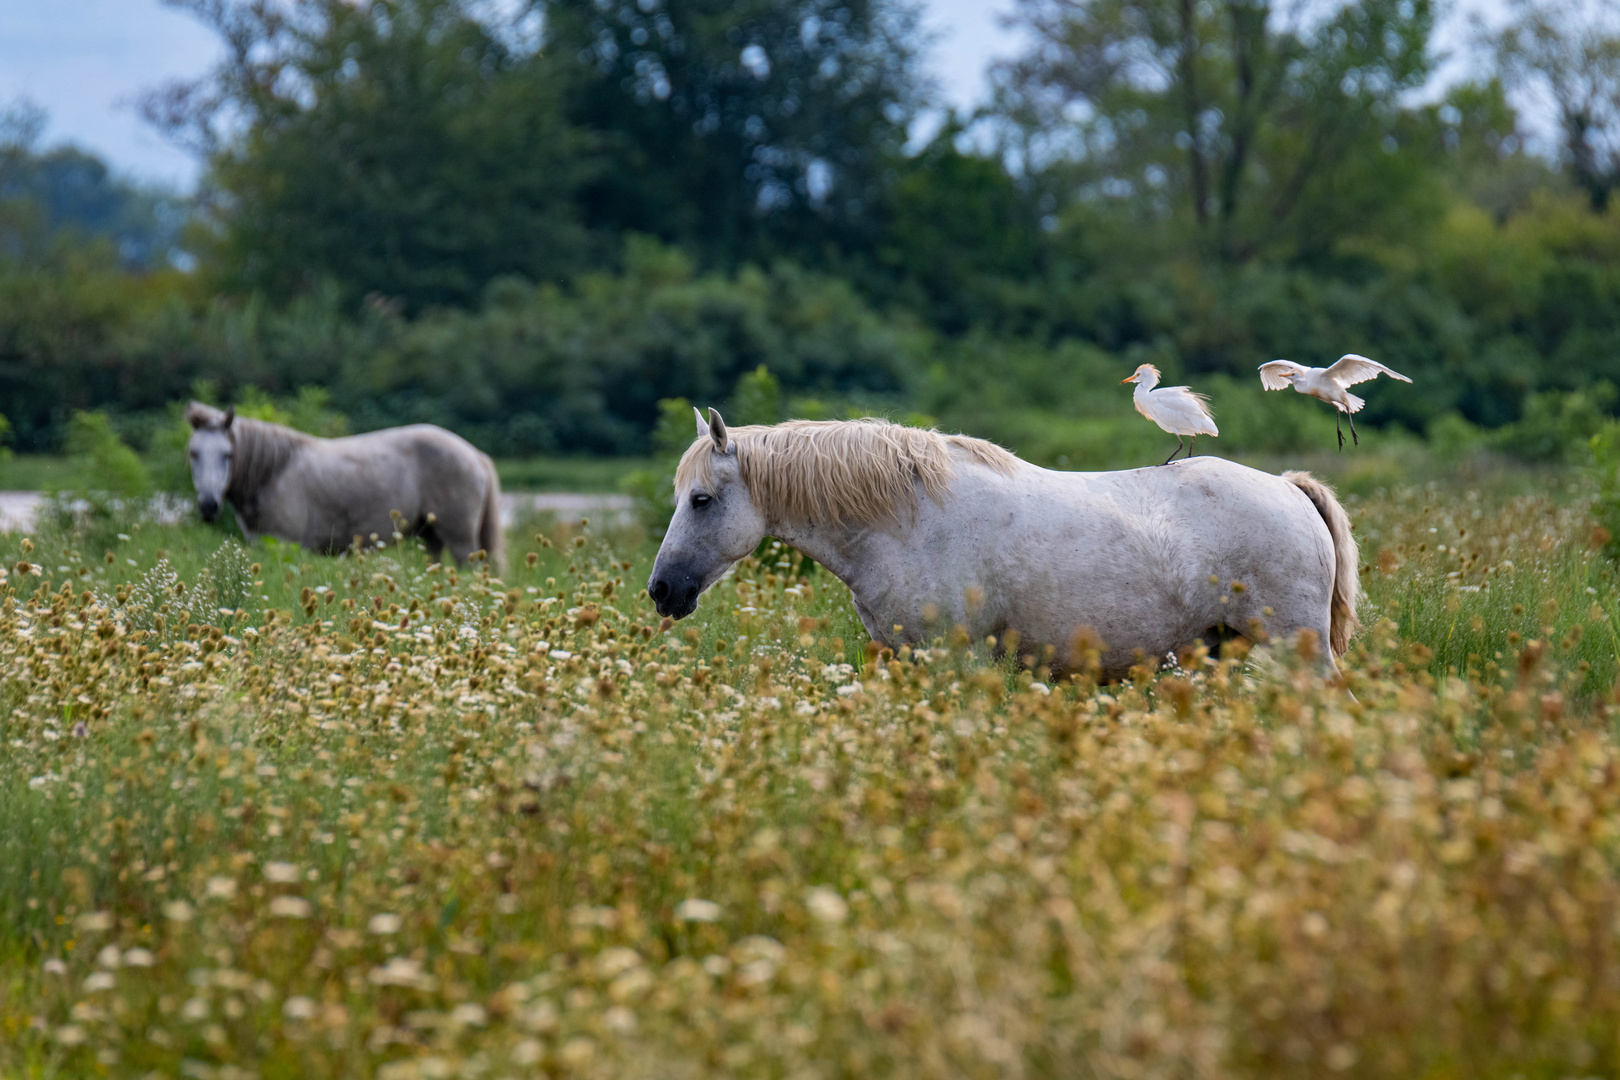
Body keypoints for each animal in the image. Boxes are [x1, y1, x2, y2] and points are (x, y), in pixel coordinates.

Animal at [183, 404, 502, 569]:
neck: (273, 472)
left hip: (461, 541)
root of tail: (475, 454)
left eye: (227, 455)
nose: (209, 505)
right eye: (193, 453)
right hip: (430, 537)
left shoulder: (287, 545)